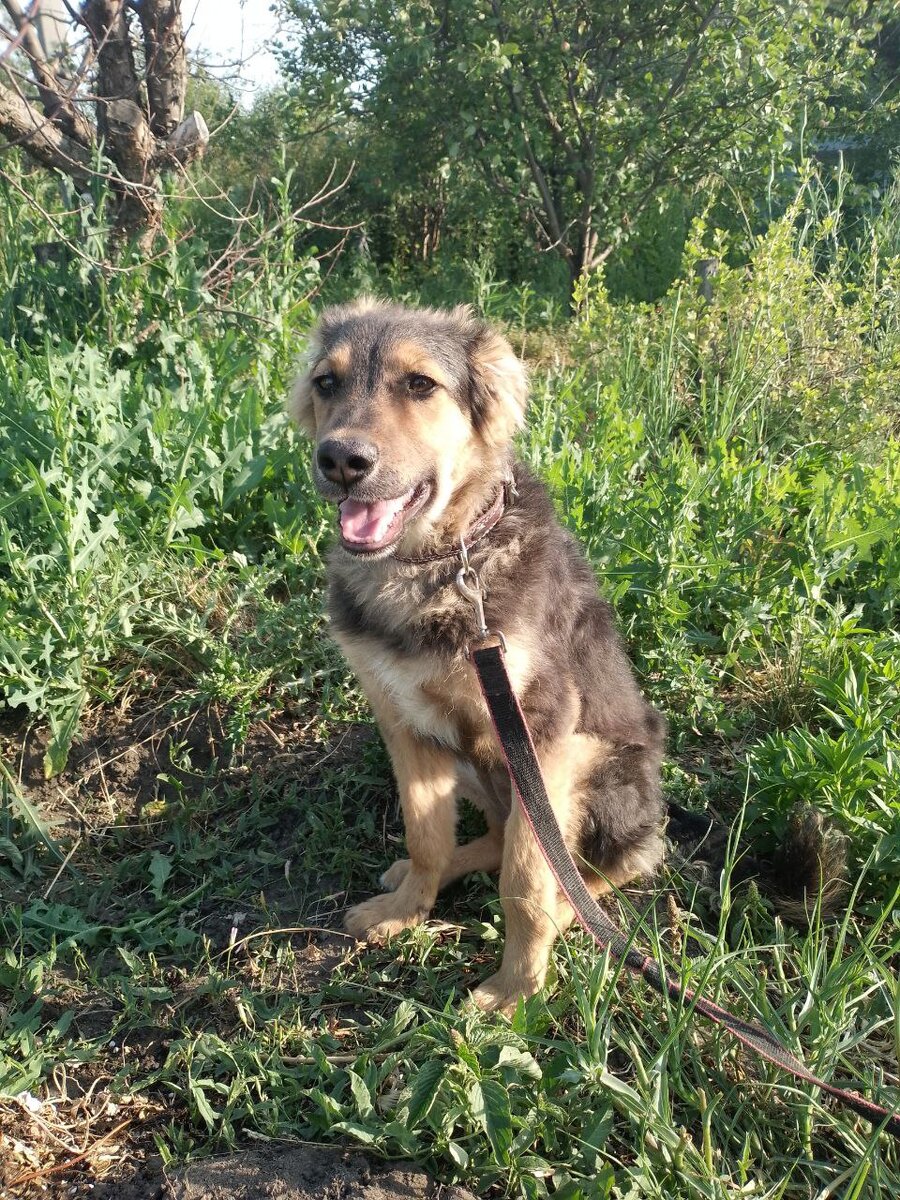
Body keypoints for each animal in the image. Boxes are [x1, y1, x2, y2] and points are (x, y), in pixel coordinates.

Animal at [292, 297, 672, 1012]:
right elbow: (426, 835)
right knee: (495, 839)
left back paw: (575, 914)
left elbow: (526, 881)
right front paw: (408, 909)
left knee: (605, 867)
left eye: (420, 384)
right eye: (328, 382)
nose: (340, 461)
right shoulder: (403, 722)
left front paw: (517, 988)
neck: (435, 564)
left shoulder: (543, 733)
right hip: (472, 763)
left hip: (594, 771)